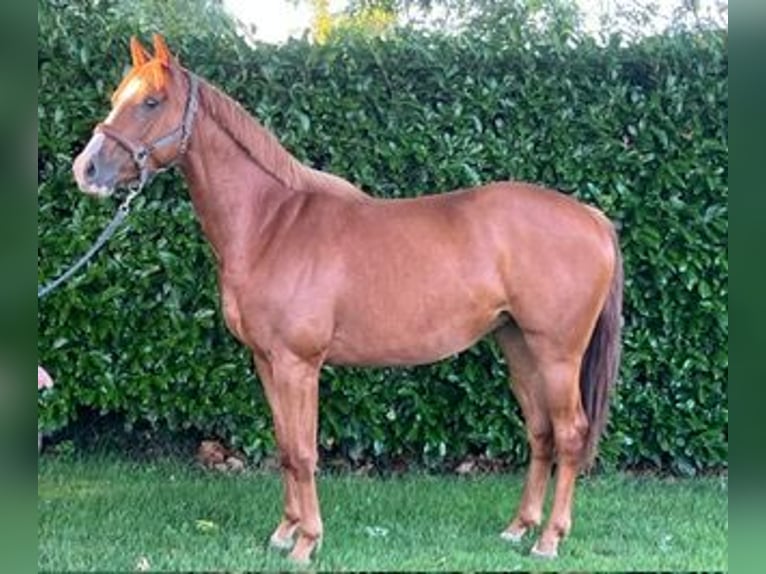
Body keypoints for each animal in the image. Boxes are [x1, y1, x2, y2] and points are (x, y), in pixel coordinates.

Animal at [72, 34, 623, 564]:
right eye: (116, 97)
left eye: (151, 101)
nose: (86, 169)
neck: (271, 225)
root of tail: (592, 217)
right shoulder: (267, 362)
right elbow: (285, 447)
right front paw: (284, 533)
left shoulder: (298, 365)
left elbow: (304, 451)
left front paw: (307, 542)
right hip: (518, 345)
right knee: (541, 432)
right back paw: (518, 528)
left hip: (557, 354)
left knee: (570, 433)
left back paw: (549, 539)